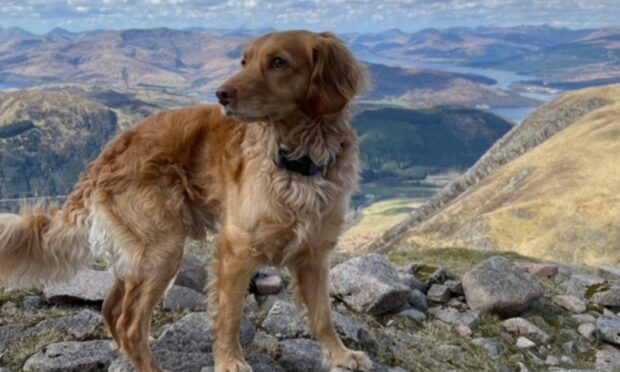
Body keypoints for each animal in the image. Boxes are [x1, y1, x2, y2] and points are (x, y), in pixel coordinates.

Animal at [0, 31, 368, 372]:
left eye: (279, 62)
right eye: (244, 62)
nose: (221, 94)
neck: (299, 161)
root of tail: (106, 155)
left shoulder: (316, 253)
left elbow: (322, 314)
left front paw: (340, 355)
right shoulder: (236, 251)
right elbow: (230, 314)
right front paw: (230, 361)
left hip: (141, 253)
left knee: (111, 307)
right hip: (162, 249)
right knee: (130, 323)